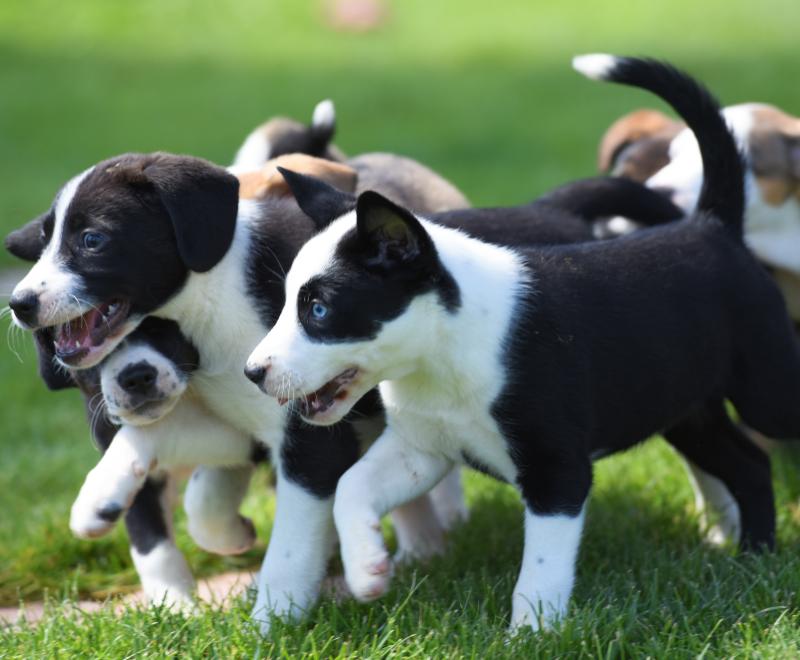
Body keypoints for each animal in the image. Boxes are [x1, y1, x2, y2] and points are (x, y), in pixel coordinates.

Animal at [245, 58, 800, 636]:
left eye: (319, 310)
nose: (253, 371)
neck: (443, 352)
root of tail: (712, 225)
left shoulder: (557, 471)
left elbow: (542, 565)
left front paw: (533, 633)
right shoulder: (422, 447)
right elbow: (352, 488)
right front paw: (368, 570)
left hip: (768, 393)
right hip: (688, 412)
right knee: (749, 466)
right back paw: (754, 556)